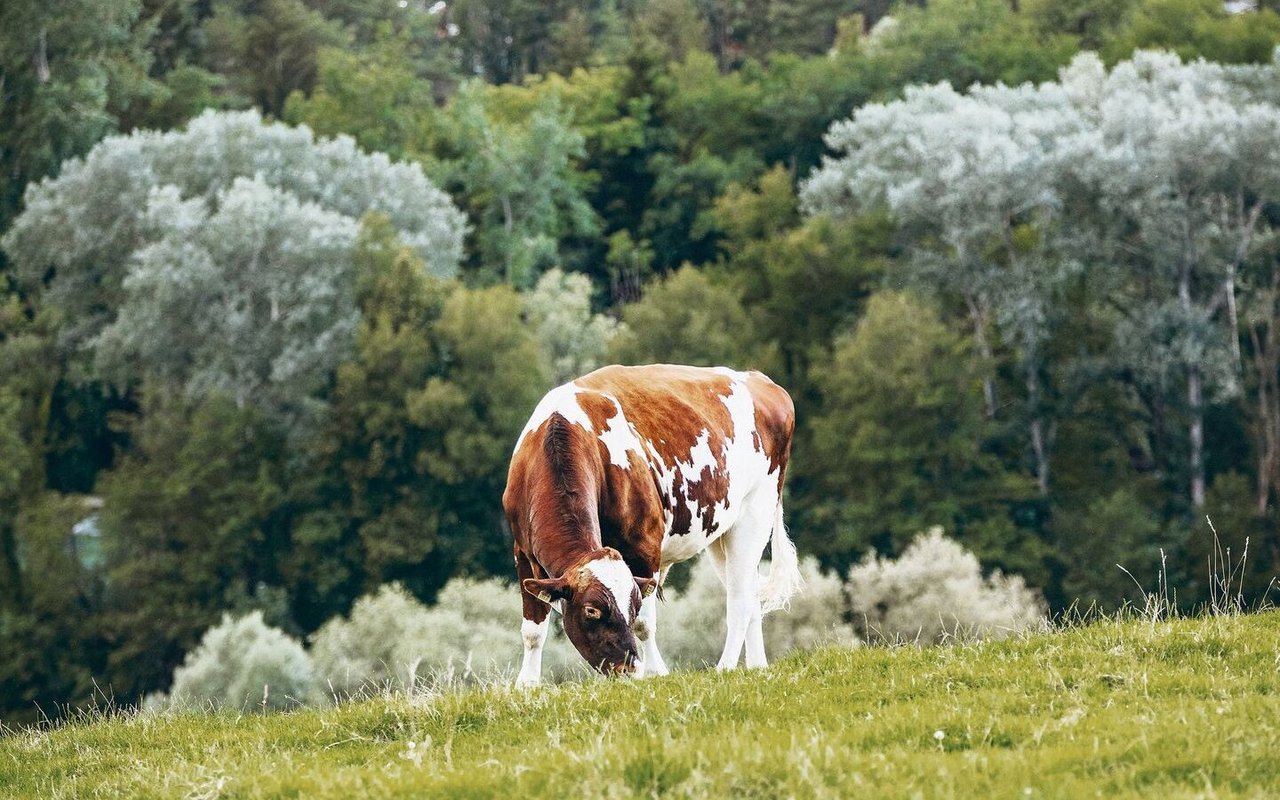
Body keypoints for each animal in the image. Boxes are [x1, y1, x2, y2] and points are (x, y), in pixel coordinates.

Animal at [501, 360, 793, 680]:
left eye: (633, 605)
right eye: (592, 611)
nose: (627, 665)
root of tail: (758, 379)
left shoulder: (644, 545)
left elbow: (644, 625)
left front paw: (654, 673)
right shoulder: (522, 552)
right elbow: (532, 631)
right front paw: (527, 684)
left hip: (756, 512)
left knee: (740, 602)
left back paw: (724, 668)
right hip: (722, 534)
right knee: (750, 596)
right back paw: (756, 666)